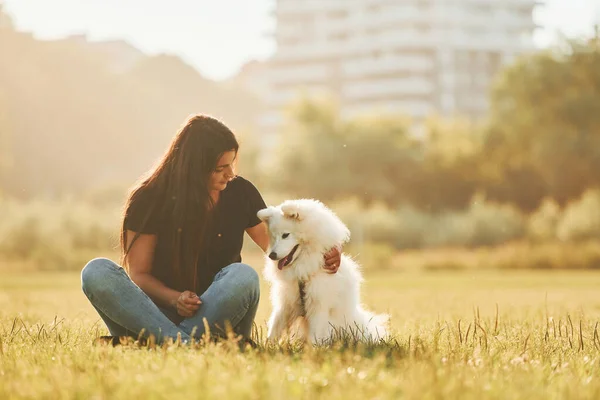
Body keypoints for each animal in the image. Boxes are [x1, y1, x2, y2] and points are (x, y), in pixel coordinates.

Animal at [256, 198, 390, 344]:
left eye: (285, 235)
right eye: (273, 237)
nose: (272, 255)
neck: (304, 267)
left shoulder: (318, 305)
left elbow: (315, 333)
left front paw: (313, 348)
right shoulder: (286, 303)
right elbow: (275, 327)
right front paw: (267, 346)